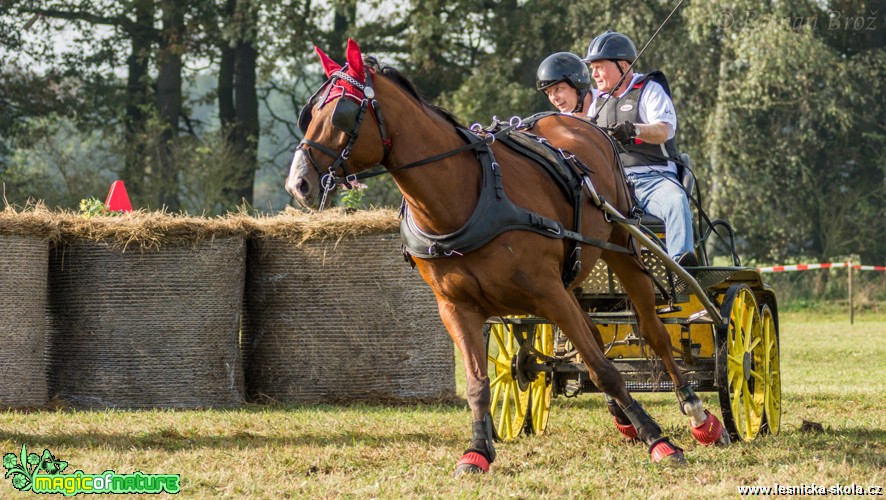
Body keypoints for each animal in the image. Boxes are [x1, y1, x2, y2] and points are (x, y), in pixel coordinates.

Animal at [284, 40, 728, 476]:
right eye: (310, 111)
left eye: (342, 112)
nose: (298, 184)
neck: (466, 200)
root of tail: (581, 123)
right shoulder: (456, 307)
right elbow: (479, 383)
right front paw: (477, 451)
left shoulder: (549, 292)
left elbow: (605, 370)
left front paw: (659, 440)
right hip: (573, 279)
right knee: (593, 337)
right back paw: (624, 418)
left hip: (623, 247)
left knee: (654, 333)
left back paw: (698, 415)